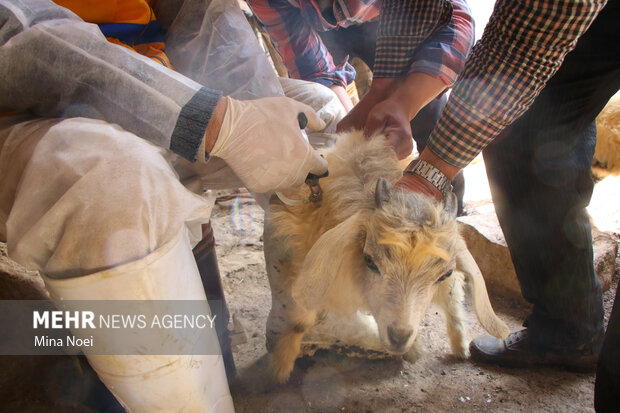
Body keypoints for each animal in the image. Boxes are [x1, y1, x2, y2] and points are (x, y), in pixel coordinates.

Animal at [262, 130, 508, 382]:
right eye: (370, 261)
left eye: (444, 273)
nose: (399, 337)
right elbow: (298, 318)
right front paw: (281, 367)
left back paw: (459, 348)